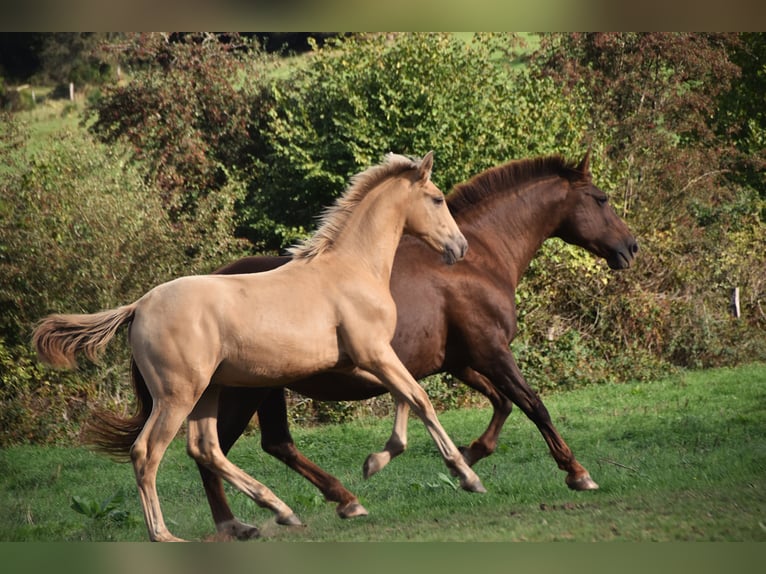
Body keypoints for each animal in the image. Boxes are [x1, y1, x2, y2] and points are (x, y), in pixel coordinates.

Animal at [31, 152, 480, 542]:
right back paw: (165, 534)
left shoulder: (362, 361)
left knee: (206, 448)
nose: (460, 247)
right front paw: (467, 476)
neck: (352, 269)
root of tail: (138, 306)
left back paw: (276, 512)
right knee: (147, 453)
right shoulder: (374, 354)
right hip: (177, 396)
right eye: (437, 198)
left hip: (207, 391)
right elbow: (420, 398)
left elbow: (405, 396)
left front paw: (374, 463)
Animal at [195, 151, 639, 540]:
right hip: (242, 394)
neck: (477, 261)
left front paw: (467, 456)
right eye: (601, 198)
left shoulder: (461, 362)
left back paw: (340, 500)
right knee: (214, 452)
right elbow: (533, 404)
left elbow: (502, 404)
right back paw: (236, 524)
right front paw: (577, 473)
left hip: (265, 390)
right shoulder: (491, 352)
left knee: (273, 444)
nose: (631, 247)